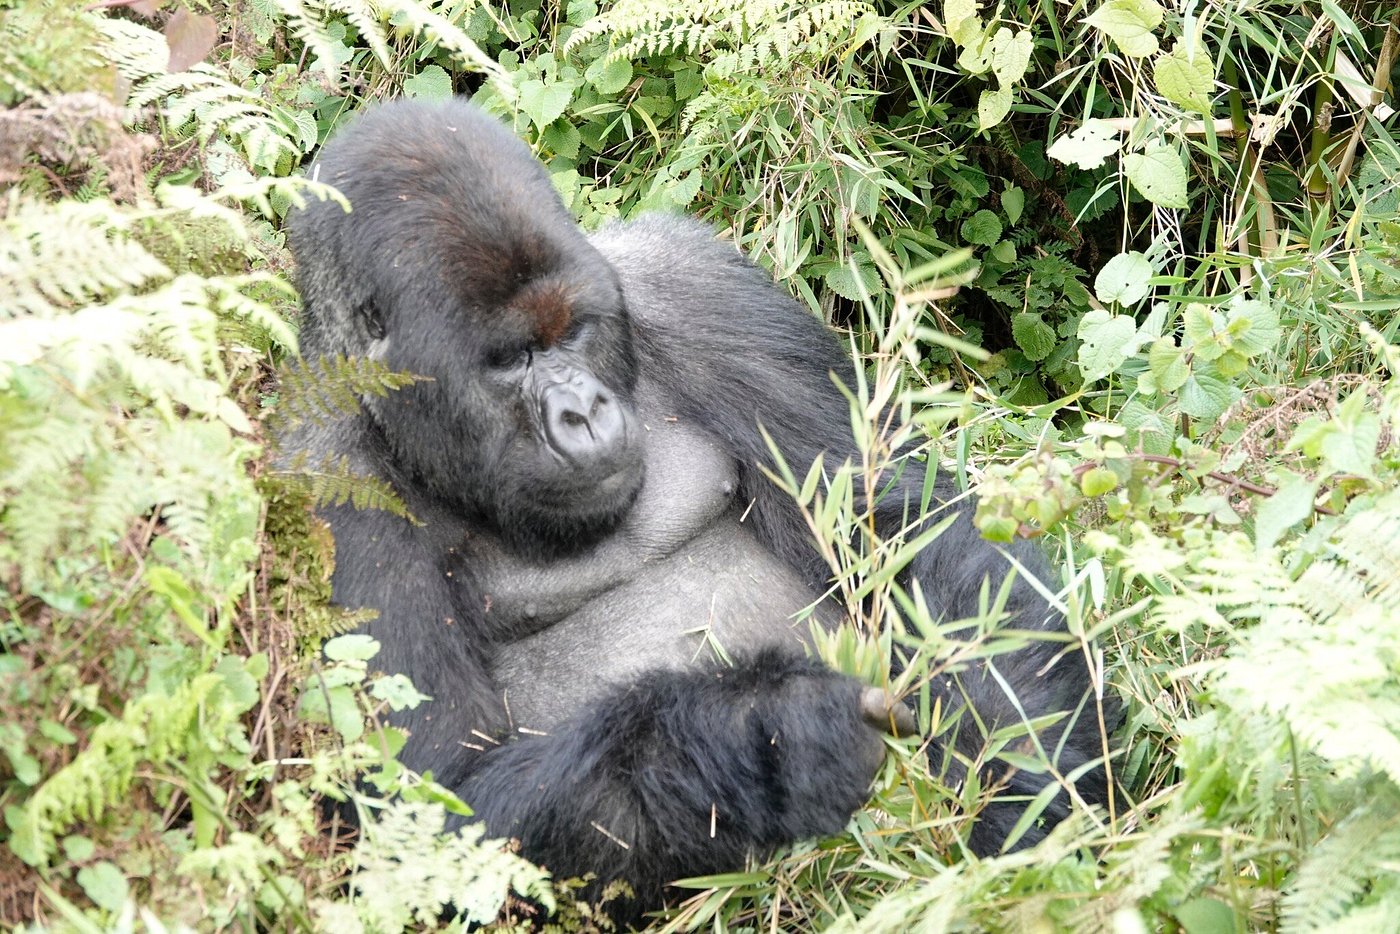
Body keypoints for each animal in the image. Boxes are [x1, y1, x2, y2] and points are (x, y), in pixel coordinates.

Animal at [287, 96, 1114, 918]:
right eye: (511, 360)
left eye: (573, 331)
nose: (582, 411)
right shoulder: (323, 493)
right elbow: (438, 817)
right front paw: (766, 741)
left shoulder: (693, 282)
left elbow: (905, 536)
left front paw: (1029, 799)